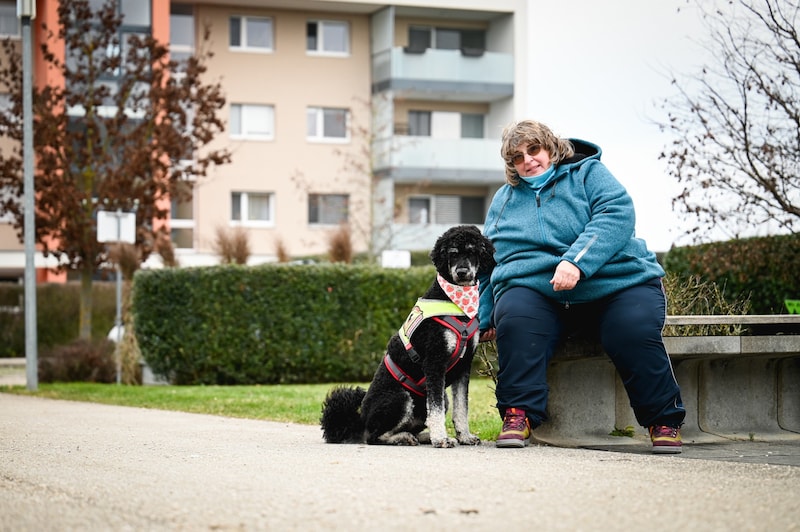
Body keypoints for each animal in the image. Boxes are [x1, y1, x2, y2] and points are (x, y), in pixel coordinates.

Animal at [318, 225, 494, 448]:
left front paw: (464, 436)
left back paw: (421, 436)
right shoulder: (434, 362)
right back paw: (404, 437)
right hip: (400, 397)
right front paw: (441, 439)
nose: (461, 272)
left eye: (472, 251)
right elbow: (435, 410)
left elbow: (461, 407)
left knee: (414, 424)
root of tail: (360, 421)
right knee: (374, 436)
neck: (455, 302)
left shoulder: (464, 365)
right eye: (452, 253)